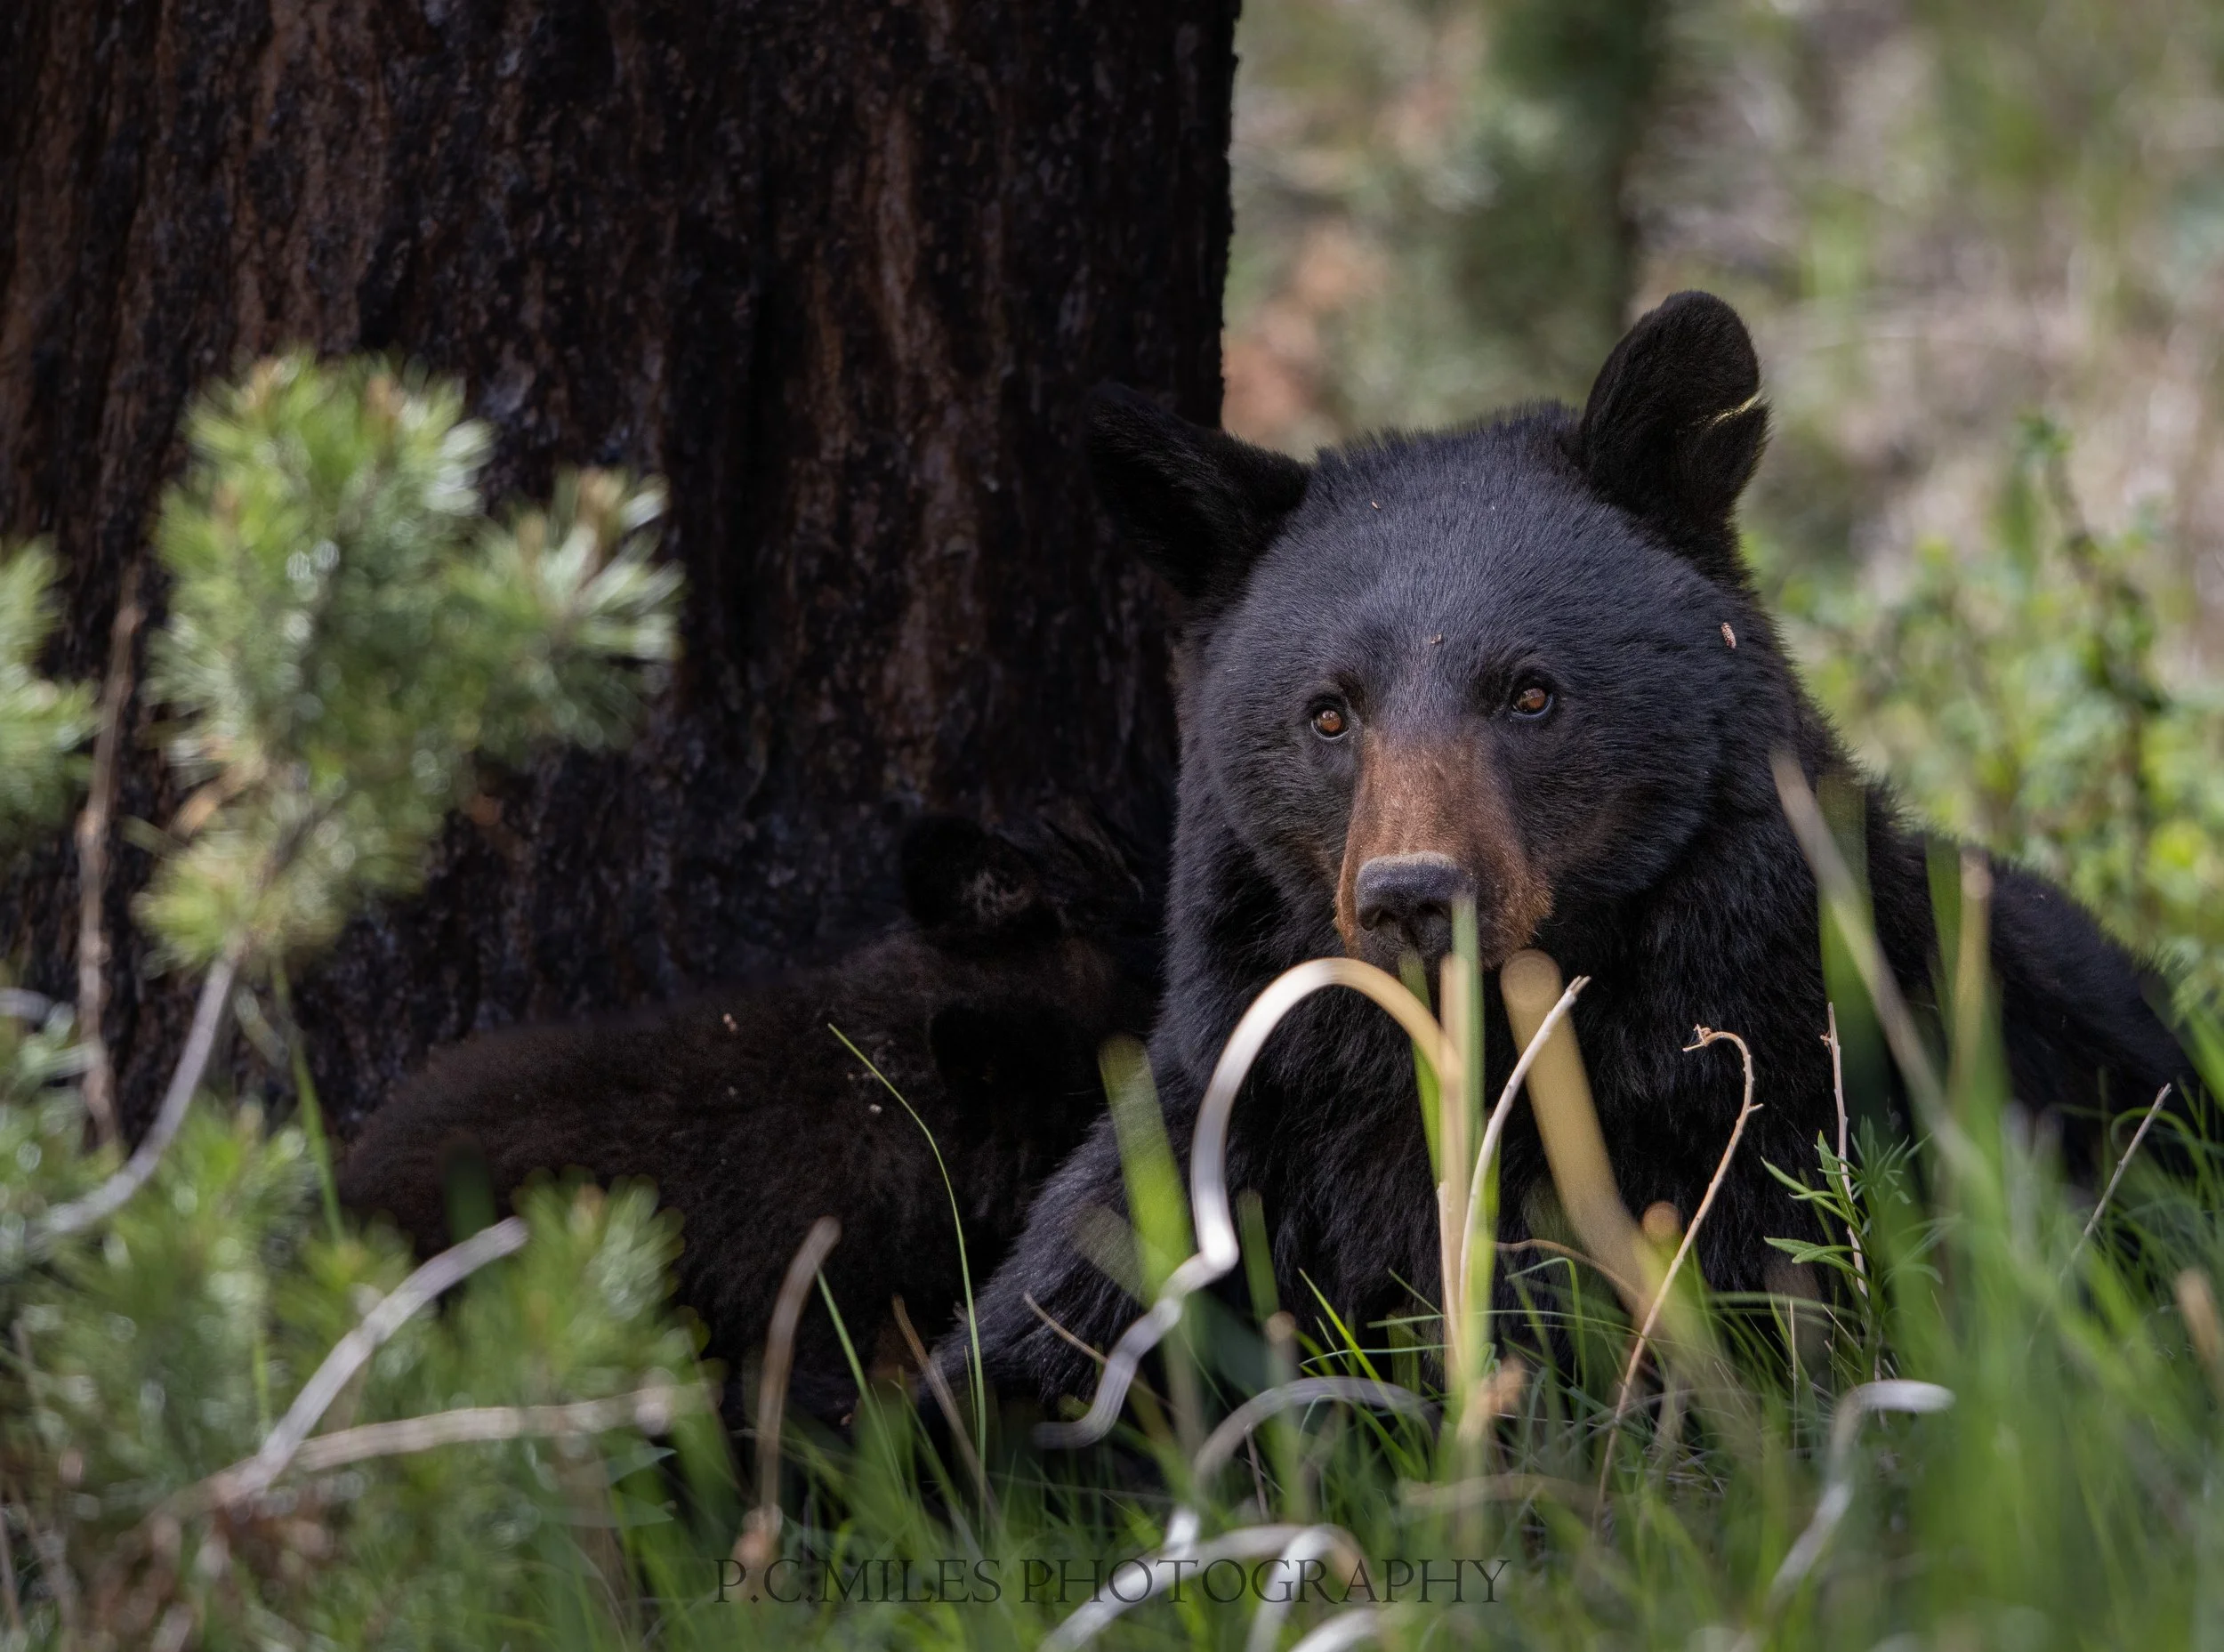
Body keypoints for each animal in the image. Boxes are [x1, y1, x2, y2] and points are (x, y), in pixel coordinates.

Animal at [946, 290, 2187, 1410]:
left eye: (1530, 693)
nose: (1412, 895)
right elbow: (1057, 1321)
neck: (1466, 1055)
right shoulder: (1242, 1113)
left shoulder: (1759, 1122)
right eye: (1329, 713)